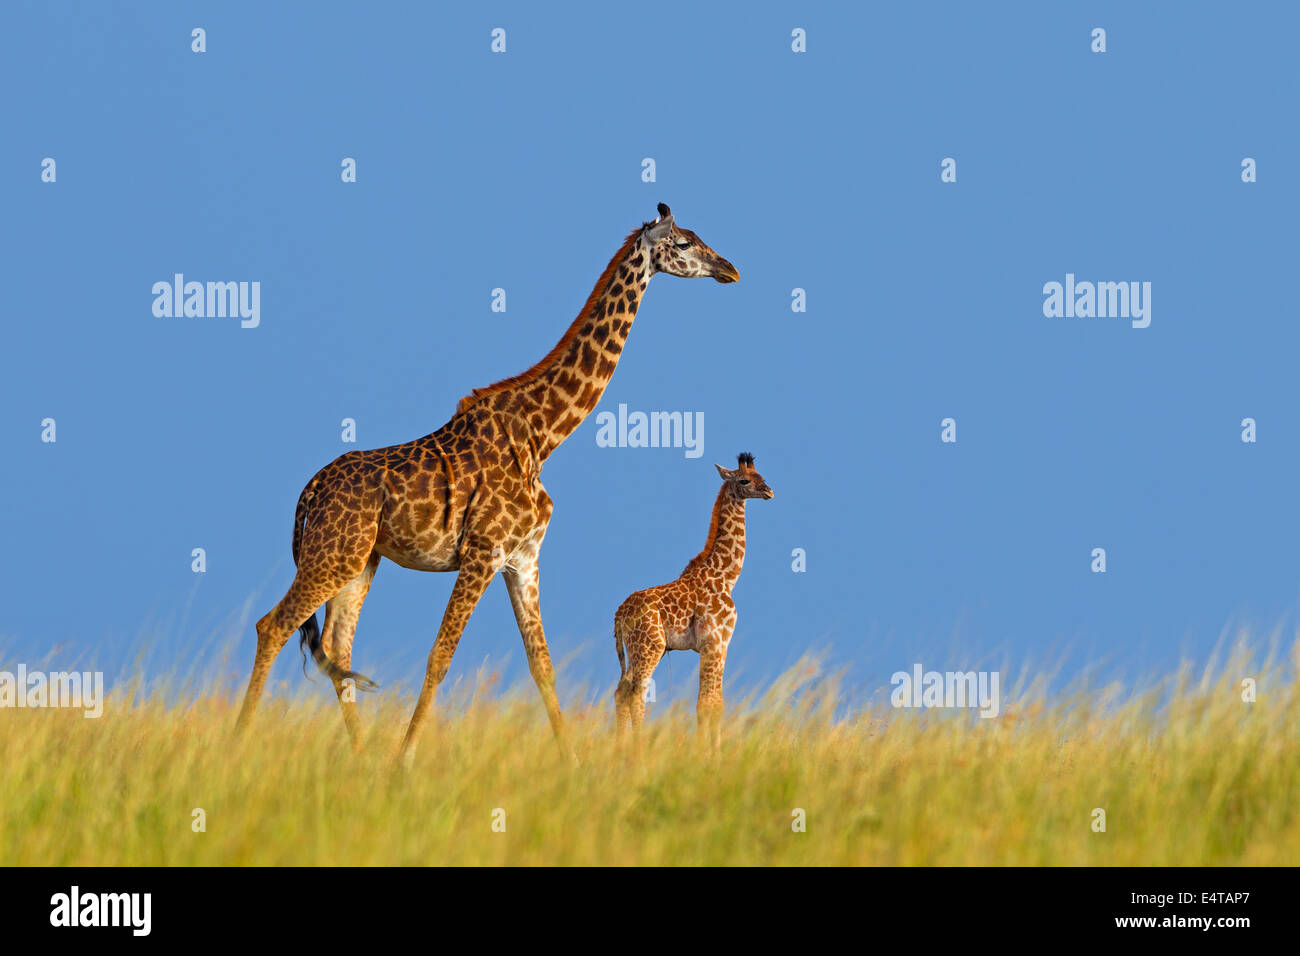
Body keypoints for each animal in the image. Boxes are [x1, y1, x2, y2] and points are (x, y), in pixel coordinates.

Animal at [236, 201, 743, 764]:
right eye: (685, 243)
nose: (730, 269)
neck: (544, 435)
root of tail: (308, 493)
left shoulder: (523, 557)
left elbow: (542, 665)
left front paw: (572, 763)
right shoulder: (483, 550)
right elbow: (441, 655)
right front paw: (404, 762)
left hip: (360, 559)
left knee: (336, 647)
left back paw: (362, 757)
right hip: (333, 553)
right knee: (273, 625)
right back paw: (240, 744)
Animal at [611, 455, 769, 754]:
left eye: (762, 476)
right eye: (744, 480)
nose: (769, 491)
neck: (726, 576)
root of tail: (618, 615)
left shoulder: (719, 646)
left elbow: (716, 703)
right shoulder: (714, 642)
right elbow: (707, 704)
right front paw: (709, 756)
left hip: (642, 649)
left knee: (621, 690)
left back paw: (621, 749)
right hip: (650, 646)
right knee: (637, 692)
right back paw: (638, 750)